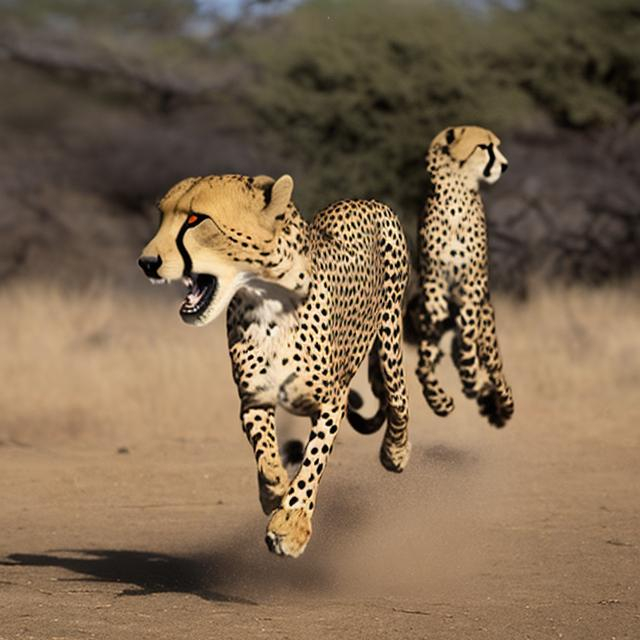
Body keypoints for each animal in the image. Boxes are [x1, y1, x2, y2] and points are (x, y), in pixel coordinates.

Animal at [139, 174, 410, 556]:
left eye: (195, 219)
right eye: (162, 216)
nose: (146, 262)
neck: (266, 300)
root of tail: (365, 201)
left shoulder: (333, 401)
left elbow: (314, 460)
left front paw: (291, 525)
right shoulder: (254, 399)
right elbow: (265, 451)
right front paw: (273, 491)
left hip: (389, 336)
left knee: (399, 400)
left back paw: (395, 453)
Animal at [416, 125, 516, 428]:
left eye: (496, 146)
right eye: (485, 147)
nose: (505, 165)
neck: (455, 192)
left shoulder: (474, 280)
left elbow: (469, 330)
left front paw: (472, 373)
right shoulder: (431, 273)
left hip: (489, 340)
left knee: (496, 372)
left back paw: (503, 405)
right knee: (423, 368)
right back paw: (442, 401)